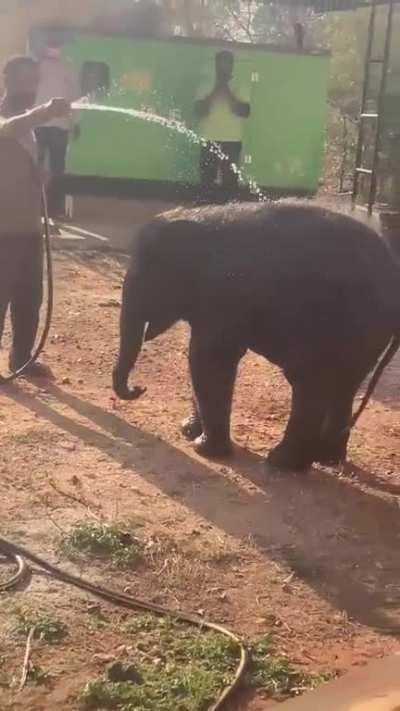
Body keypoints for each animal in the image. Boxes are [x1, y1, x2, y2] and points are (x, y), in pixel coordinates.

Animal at [113, 201, 400, 471]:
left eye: (145, 278)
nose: (139, 388)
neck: (197, 220)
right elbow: (199, 357)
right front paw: (188, 431)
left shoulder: (226, 291)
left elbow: (208, 357)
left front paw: (203, 449)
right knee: (341, 384)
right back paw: (326, 458)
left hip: (345, 324)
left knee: (310, 380)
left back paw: (282, 462)